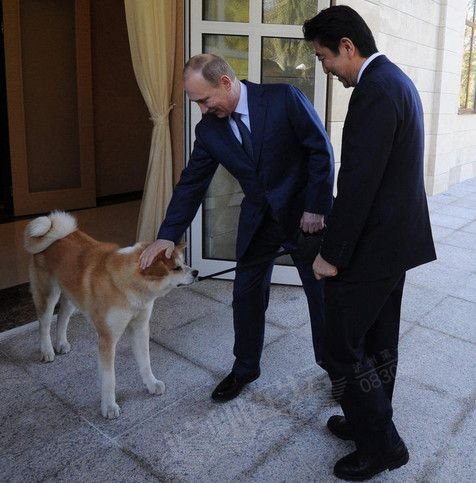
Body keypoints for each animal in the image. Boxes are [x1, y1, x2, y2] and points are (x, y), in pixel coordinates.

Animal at [24, 212, 197, 420]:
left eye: (184, 263)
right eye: (177, 268)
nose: (196, 272)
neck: (128, 283)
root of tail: (53, 231)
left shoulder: (140, 328)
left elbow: (145, 362)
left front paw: (151, 383)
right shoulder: (107, 338)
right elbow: (109, 378)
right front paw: (109, 406)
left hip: (72, 294)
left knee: (63, 317)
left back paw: (61, 343)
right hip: (48, 293)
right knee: (44, 324)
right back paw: (47, 350)